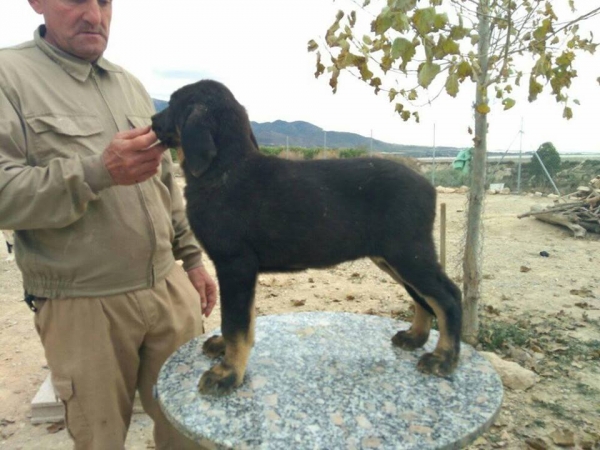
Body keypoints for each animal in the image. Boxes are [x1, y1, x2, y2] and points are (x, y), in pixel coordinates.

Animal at [152, 80, 462, 394]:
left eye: (172, 103)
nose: (152, 120)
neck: (224, 168)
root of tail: (430, 187)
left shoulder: (235, 265)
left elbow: (235, 324)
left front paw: (227, 373)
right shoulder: (241, 270)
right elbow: (243, 322)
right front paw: (224, 351)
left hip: (408, 253)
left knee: (448, 296)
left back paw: (443, 358)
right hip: (393, 258)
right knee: (422, 296)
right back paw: (415, 337)